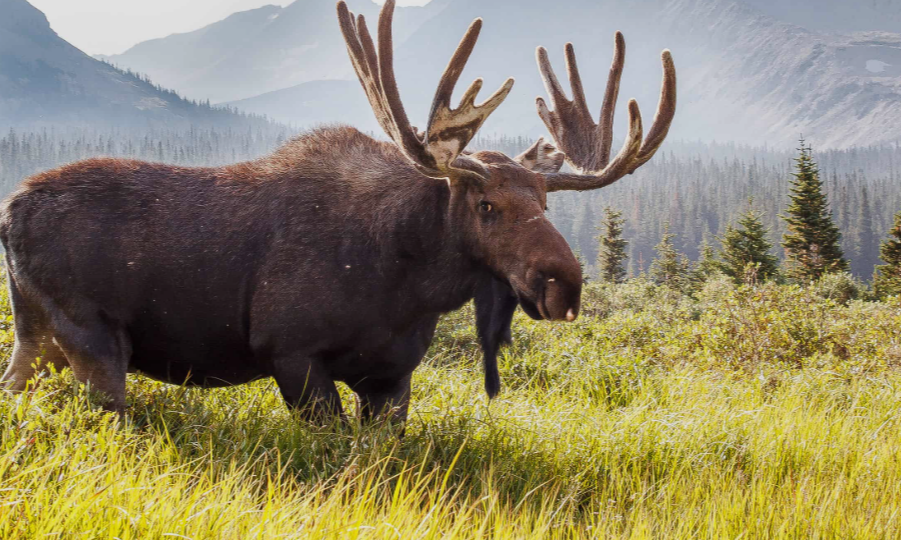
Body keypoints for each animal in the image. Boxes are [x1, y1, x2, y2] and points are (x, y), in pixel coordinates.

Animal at [0, 0, 675, 425]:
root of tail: (8, 214)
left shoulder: (393, 377)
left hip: (37, 336)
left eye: (544, 201)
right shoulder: (291, 352)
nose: (565, 284)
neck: (408, 285)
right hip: (92, 336)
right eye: (486, 204)